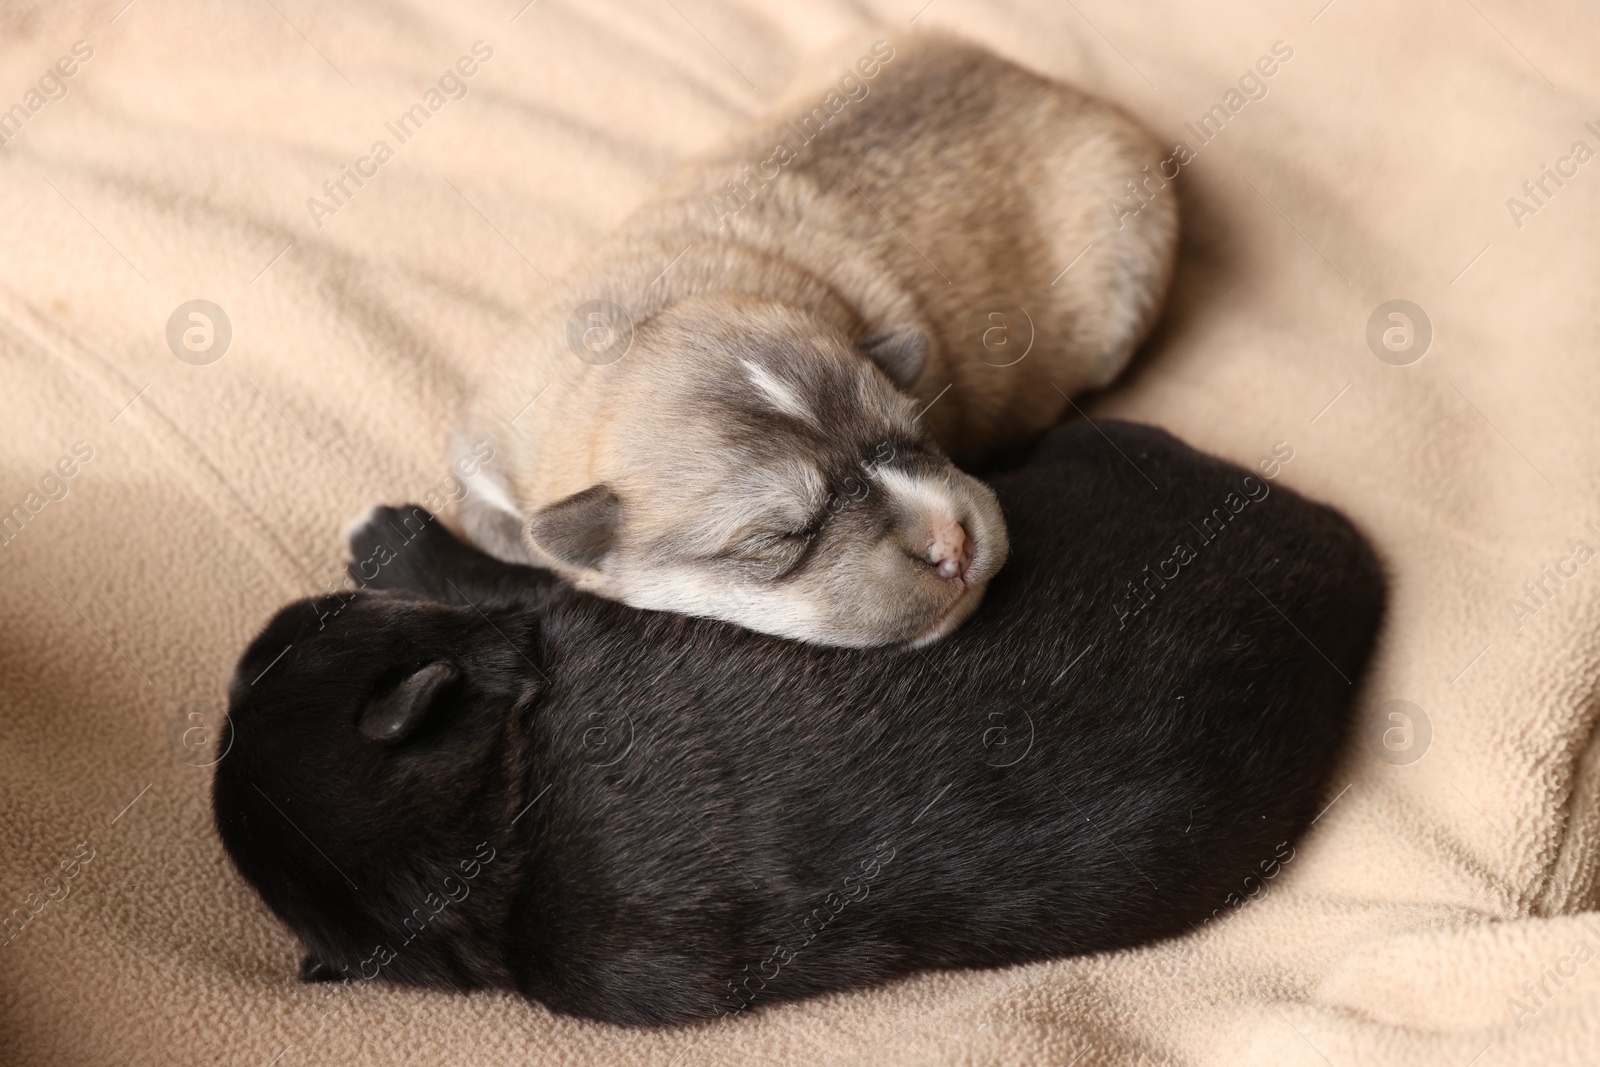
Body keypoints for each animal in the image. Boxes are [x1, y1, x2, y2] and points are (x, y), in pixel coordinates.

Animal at [216, 422, 1388, 1030]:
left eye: (307, 628)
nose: (267, 630)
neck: (496, 839)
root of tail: (1343, 551)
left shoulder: (564, 621)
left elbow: (505, 576)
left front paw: (395, 537)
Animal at [451, 33, 1177, 646]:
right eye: (784, 535)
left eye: (918, 435)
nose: (951, 542)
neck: (642, 319)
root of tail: (1045, 82)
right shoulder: (486, 453)